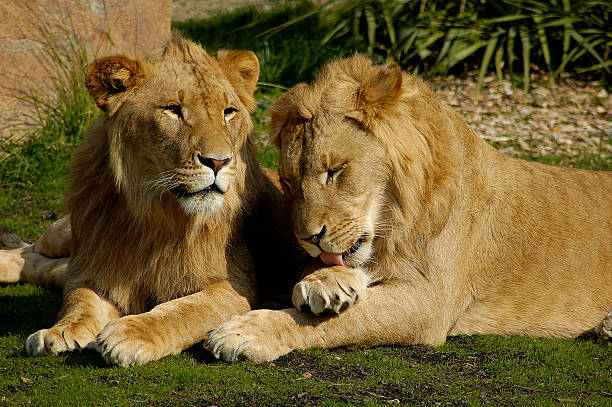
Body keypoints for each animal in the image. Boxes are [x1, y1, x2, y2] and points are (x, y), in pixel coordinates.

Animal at [0, 35, 302, 366]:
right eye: (173, 110)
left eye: (228, 111)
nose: (219, 161)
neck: (157, 213)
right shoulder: (96, 268)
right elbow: (79, 300)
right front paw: (61, 330)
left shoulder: (236, 286)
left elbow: (186, 310)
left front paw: (131, 332)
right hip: (65, 234)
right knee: (30, 252)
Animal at [207, 54, 612, 364]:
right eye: (289, 183)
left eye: (334, 171)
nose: (309, 238)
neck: (399, 219)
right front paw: (327, 281)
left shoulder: (429, 302)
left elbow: (339, 322)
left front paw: (246, 332)